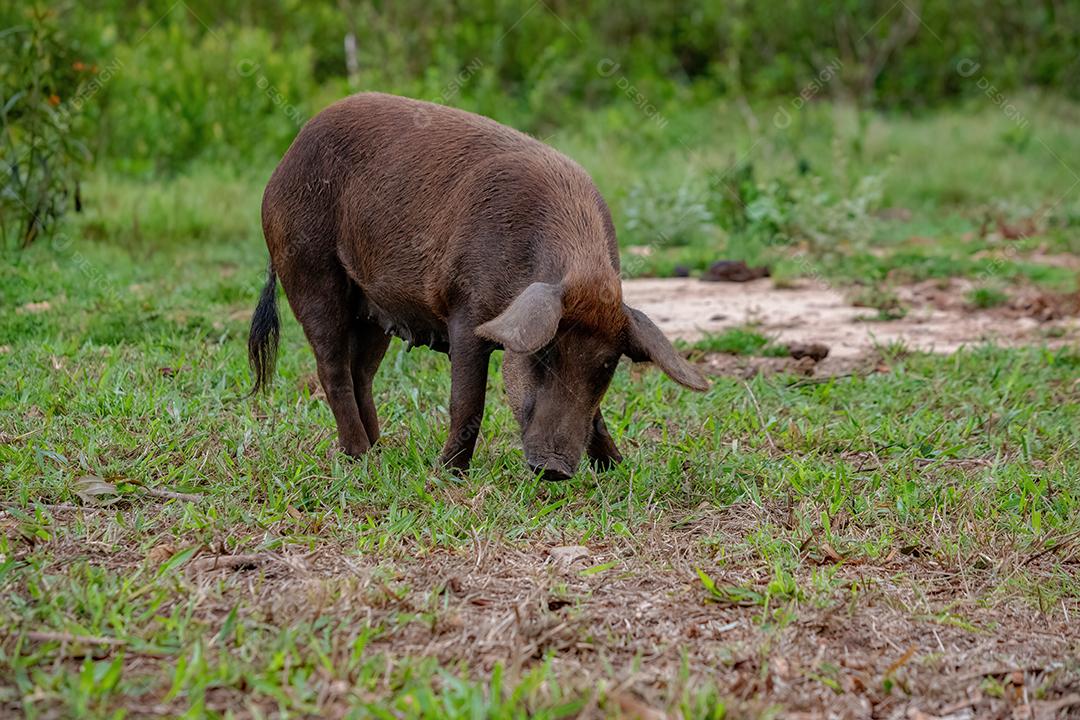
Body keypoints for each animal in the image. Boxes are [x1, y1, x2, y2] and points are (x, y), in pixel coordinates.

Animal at [250, 92, 708, 481]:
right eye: (543, 356)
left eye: (608, 365)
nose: (554, 469)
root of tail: (282, 162)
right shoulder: (465, 311)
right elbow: (468, 401)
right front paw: (447, 473)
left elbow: (594, 414)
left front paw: (618, 467)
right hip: (309, 268)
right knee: (331, 367)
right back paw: (362, 458)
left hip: (373, 307)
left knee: (360, 371)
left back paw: (380, 451)